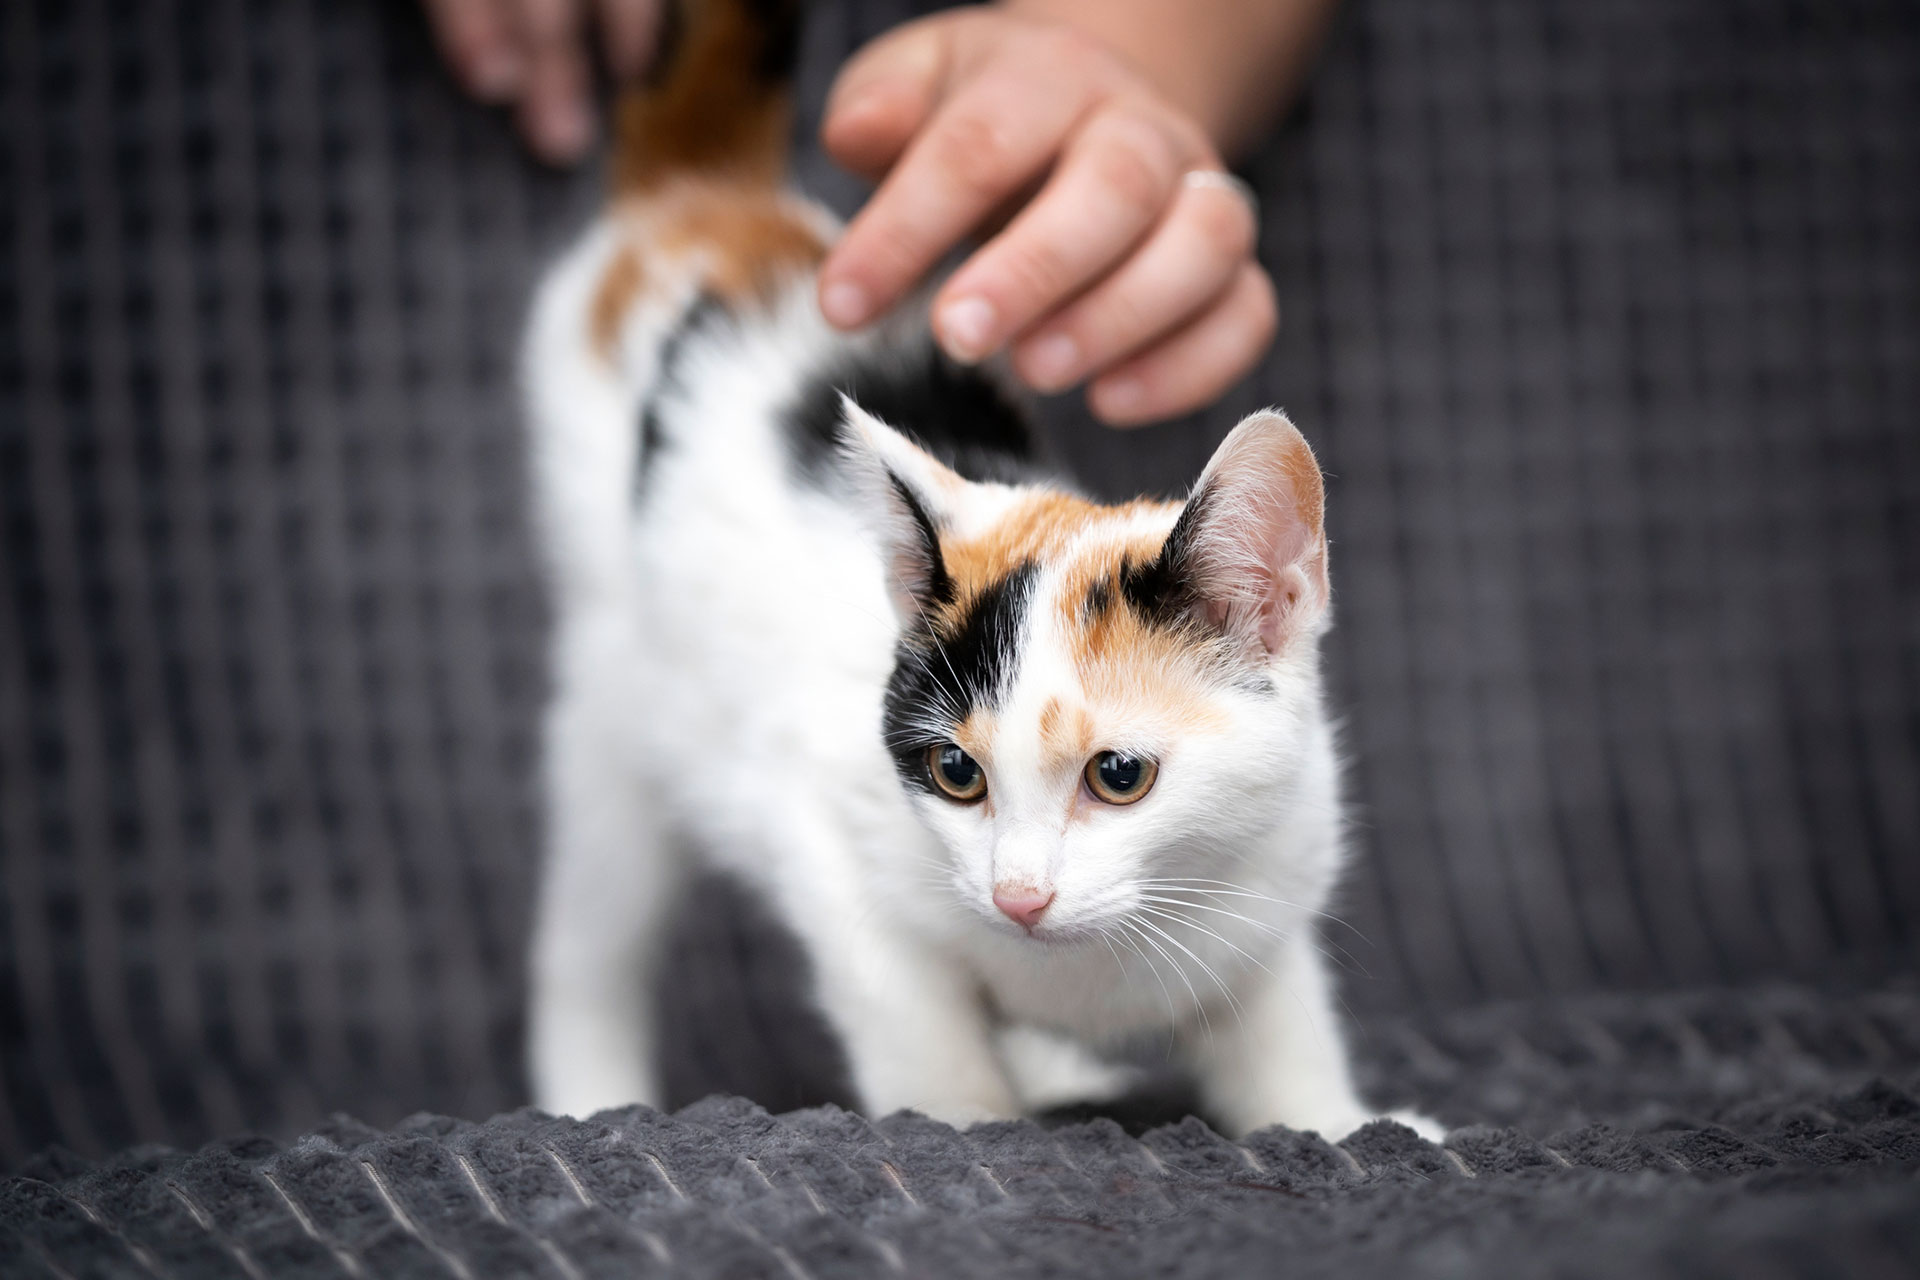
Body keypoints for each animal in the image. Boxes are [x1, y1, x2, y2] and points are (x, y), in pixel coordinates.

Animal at [526, 0, 1428, 1143]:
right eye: (957, 772)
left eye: (1119, 776)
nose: (1019, 899)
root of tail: (709, 209)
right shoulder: (828, 846)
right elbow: (919, 1028)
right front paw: (967, 1120)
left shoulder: (1272, 869)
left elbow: (1276, 1022)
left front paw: (1339, 1119)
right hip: (622, 695)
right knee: (594, 924)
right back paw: (588, 1088)